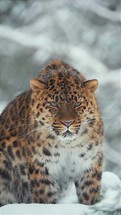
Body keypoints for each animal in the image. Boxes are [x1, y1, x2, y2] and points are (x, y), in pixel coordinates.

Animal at [0, 59, 103, 207]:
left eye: (78, 104)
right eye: (54, 104)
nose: (67, 123)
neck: (68, 145)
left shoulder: (90, 163)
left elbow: (89, 196)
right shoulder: (40, 166)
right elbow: (45, 200)